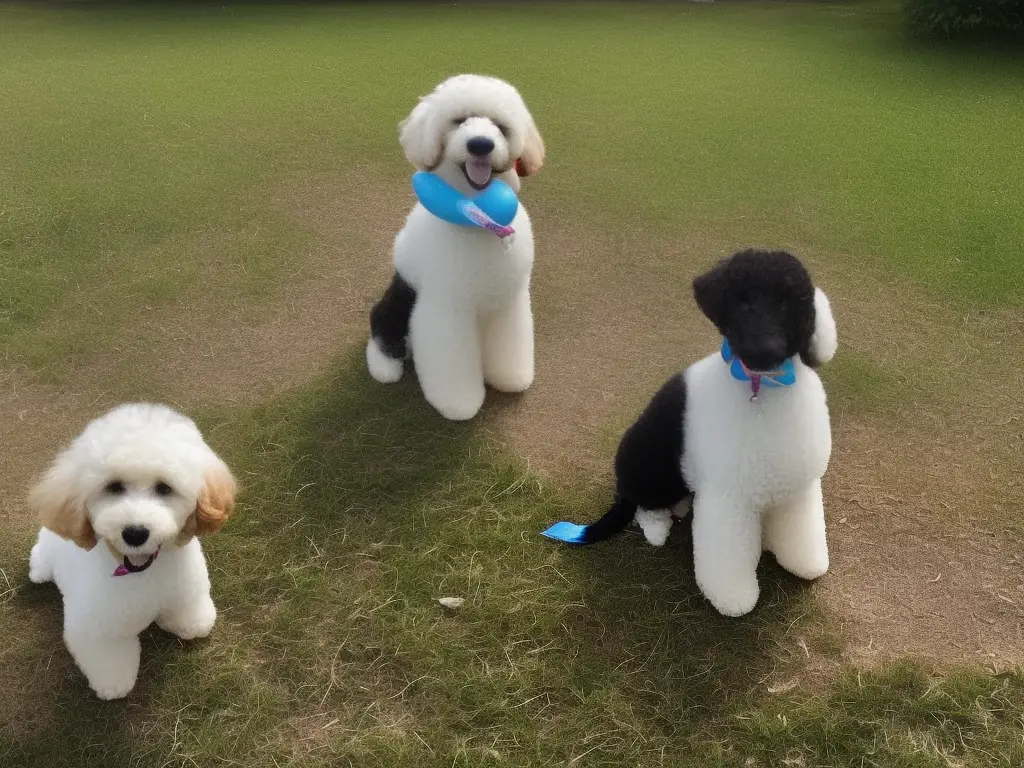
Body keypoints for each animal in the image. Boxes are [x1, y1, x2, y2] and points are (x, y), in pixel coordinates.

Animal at [28, 405, 237, 700]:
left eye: (164, 488)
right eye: (114, 487)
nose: (135, 533)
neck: (140, 572)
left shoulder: (184, 593)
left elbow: (191, 618)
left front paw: (192, 623)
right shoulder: (96, 629)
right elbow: (109, 660)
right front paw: (113, 684)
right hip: (47, 551)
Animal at [366, 73, 544, 421]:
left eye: (500, 125)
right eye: (459, 121)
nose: (481, 144)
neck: (477, 217)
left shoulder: (507, 300)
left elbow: (509, 342)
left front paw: (509, 377)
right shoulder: (447, 309)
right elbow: (451, 359)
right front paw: (458, 403)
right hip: (399, 298)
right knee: (380, 326)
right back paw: (384, 369)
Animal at [544, 252, 839, 618]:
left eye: (789, 302)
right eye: (743, 301)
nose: (765, 350)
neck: (761, 390)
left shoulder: (797, 488)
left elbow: (800, 532)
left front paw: (803, 562)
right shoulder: (728, 500)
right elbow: (728, 556)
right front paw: (734, 598)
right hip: (649, 463)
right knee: (643, 506)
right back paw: (658, 527)